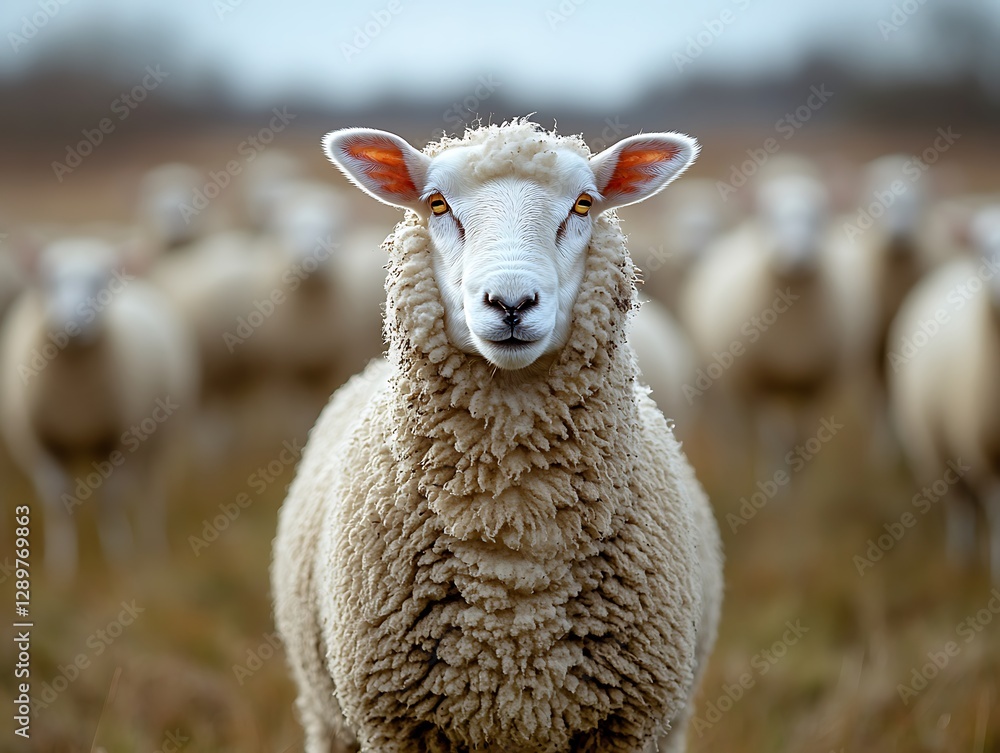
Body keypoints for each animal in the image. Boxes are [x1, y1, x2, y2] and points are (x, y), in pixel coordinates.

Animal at [0, 237, 198, 580]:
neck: (75, 401)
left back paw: (152, 546)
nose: (73, 323)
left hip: (158, 440)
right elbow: (57, 501)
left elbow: (110, 499)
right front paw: (61, 567)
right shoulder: (39, 445)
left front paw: (119, 557)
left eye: (102, 281)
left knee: (150, 492)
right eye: (48, 279)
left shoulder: (121, 443)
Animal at [272, 120, 723, 753]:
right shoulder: (397, 728)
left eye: (584, 204)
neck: (513, 515)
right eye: (437, 203)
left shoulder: (628, 729)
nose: (511, 303)